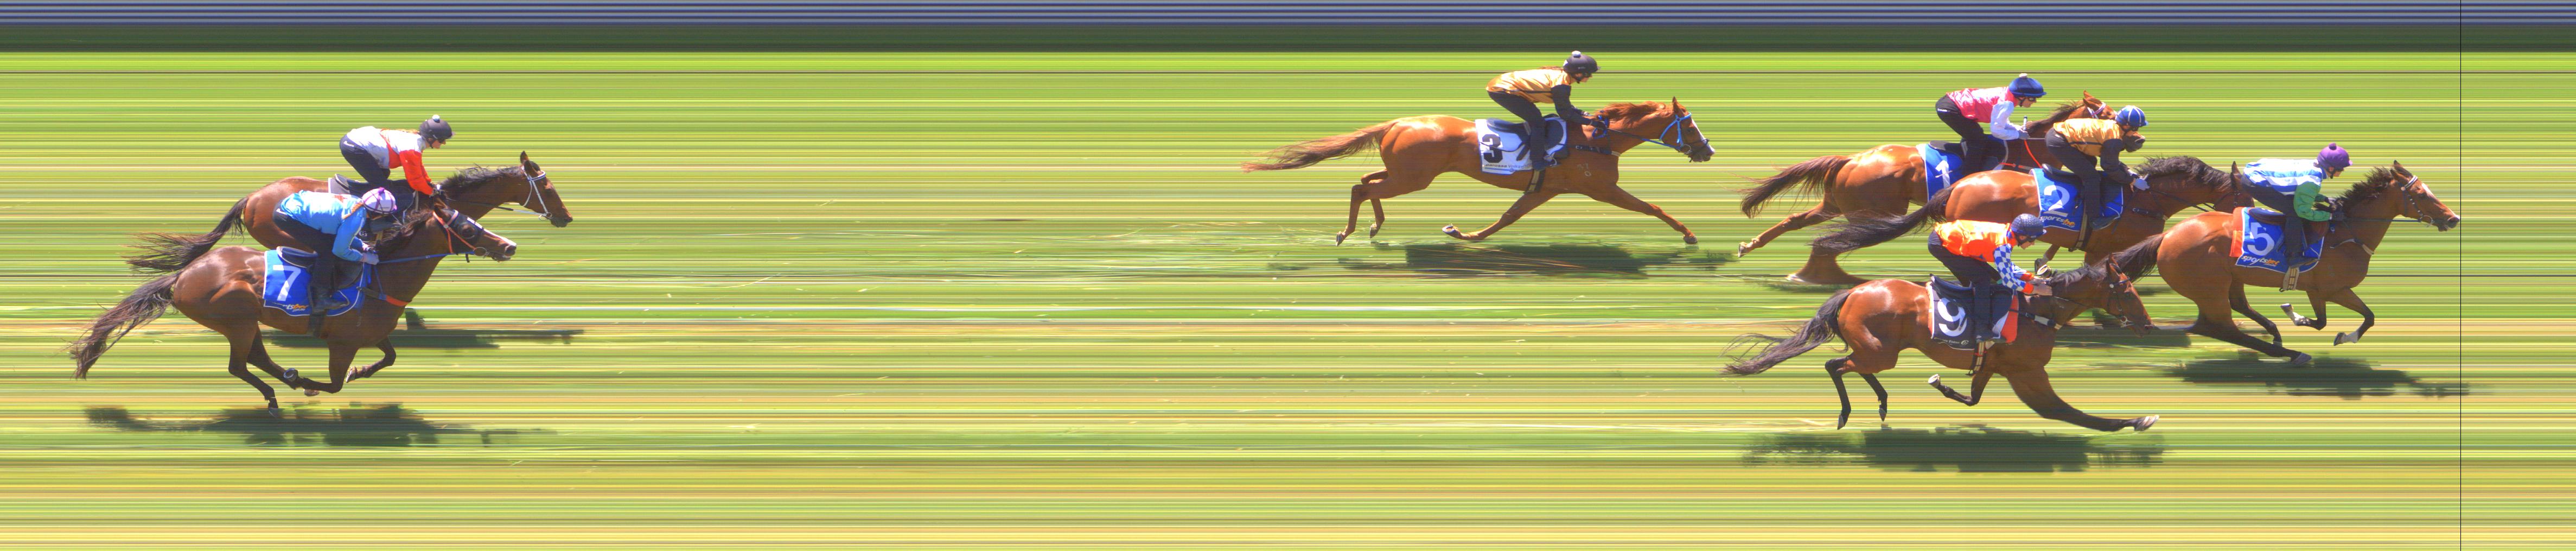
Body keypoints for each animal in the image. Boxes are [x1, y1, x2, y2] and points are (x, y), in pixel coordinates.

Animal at [70, 203, 520, 416]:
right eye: (467, 226)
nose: (509, 245)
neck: (382, 278)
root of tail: (183, 276)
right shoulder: (342, 343)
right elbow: (336, 384)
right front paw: (313, 384)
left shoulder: (371, 334)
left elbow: (389, 357)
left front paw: (357, 372)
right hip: (236, 317)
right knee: (240, 364)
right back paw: (279, 391)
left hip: (247, 321)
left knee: (256, 359)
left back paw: (283, 381)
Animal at [1241, 100, 1713, 244]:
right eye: (1689, 125)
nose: (1708, 150)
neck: (1598, 138)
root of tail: (1397, 122)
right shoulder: (1601, 189)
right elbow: (1653, 207)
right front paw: (1689, 234)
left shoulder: (1543, 189)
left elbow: (1507, 218)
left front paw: (1462, 233)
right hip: (1414, 178)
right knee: (1363, 189)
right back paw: (1351, 231)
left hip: (1405, 173)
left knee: (1366, 183)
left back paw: (1372, 226)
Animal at [1722, 240, 2163, 432]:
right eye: (2128, 290)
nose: (2148, 325)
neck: (2041, 309)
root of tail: (1854, 291)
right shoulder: (2028, 371)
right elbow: (2066, 412)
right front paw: (2136, 420)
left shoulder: (1999, 366)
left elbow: (1975, 398)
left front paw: (1943, 386)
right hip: (1880, 351)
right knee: (1835, 364)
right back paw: (1848, 413)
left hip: (1879, 350)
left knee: (1853, 366)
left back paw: (1883, 404)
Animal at [1734, 94, 2109, 262]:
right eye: (2106, 114)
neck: (2026, 149)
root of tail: (1852, 160)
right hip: (1870, 209)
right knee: (1849, 233)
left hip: (1838, 203)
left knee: (1796, 220)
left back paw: (1751, 244)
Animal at [2146, 162, 2460, 363]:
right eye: (2421, 194)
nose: (2453, 218)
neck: (2346, 234)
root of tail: (2167, 235)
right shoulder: (2331, 289)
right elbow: (2344, 320)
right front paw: (2306, 321)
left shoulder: (2319, 290)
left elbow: (2347, 320)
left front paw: (2323, 328)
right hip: (2210, 288)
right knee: (2220, 327)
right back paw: (2291, 353)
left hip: (2227, 280)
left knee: (2231, 311)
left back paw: (2276, 337)